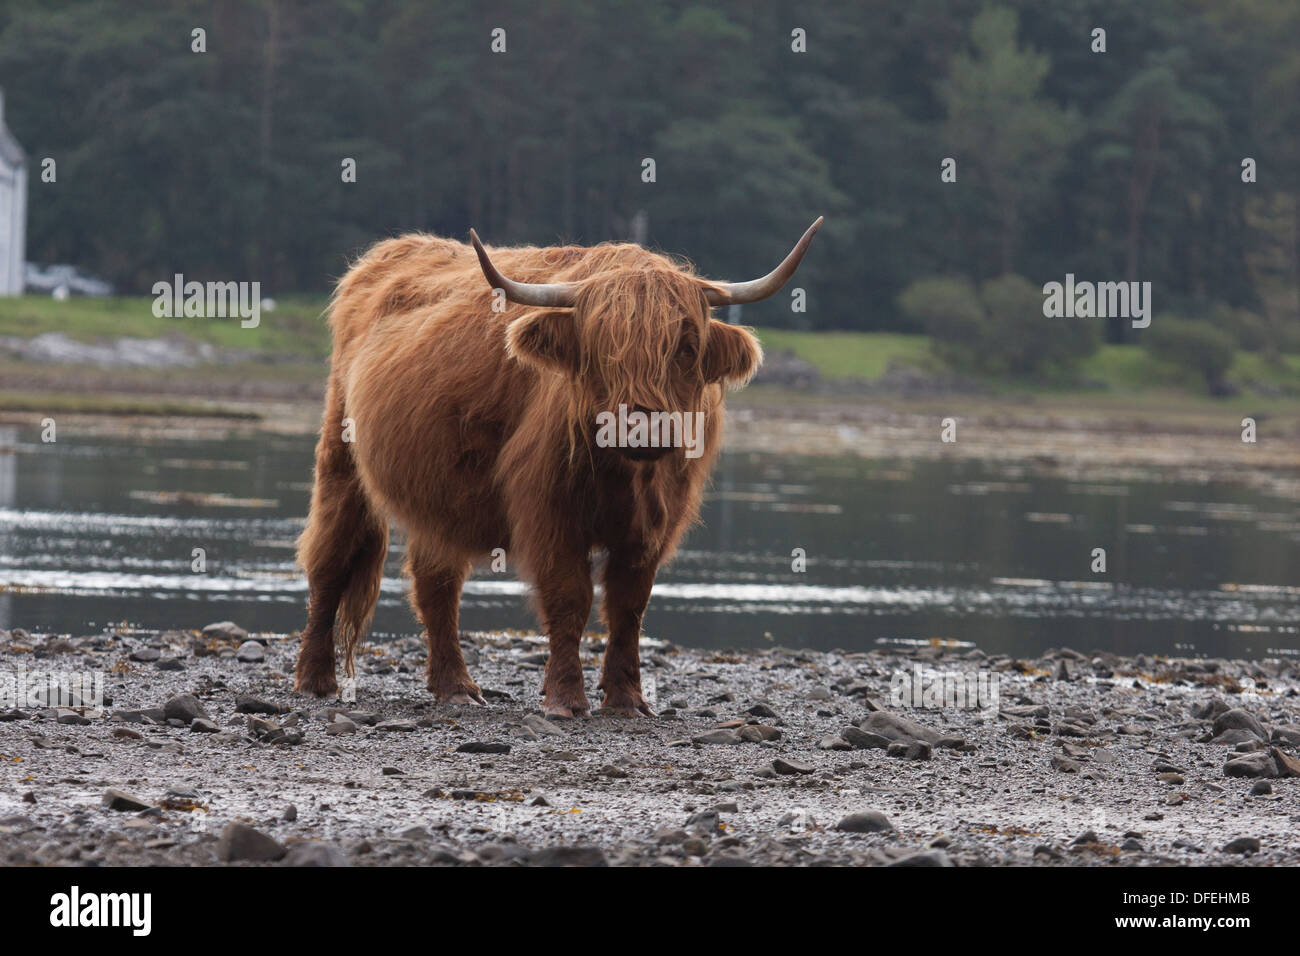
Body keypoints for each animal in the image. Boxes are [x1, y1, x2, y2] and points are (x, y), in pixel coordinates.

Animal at [293, 218, 823, 716]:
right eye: (601, 347)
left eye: (686, 346)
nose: (642, 425)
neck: (625, 472)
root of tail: (388, 253)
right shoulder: (551, 511)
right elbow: (570, 598)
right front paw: (566, 697)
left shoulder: (655, 524)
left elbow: (629, 606)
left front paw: (627, 698)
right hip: (341, 457)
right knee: (332, 559)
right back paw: (317, 679)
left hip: (438, 498)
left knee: (436, 585)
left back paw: (457, 687)